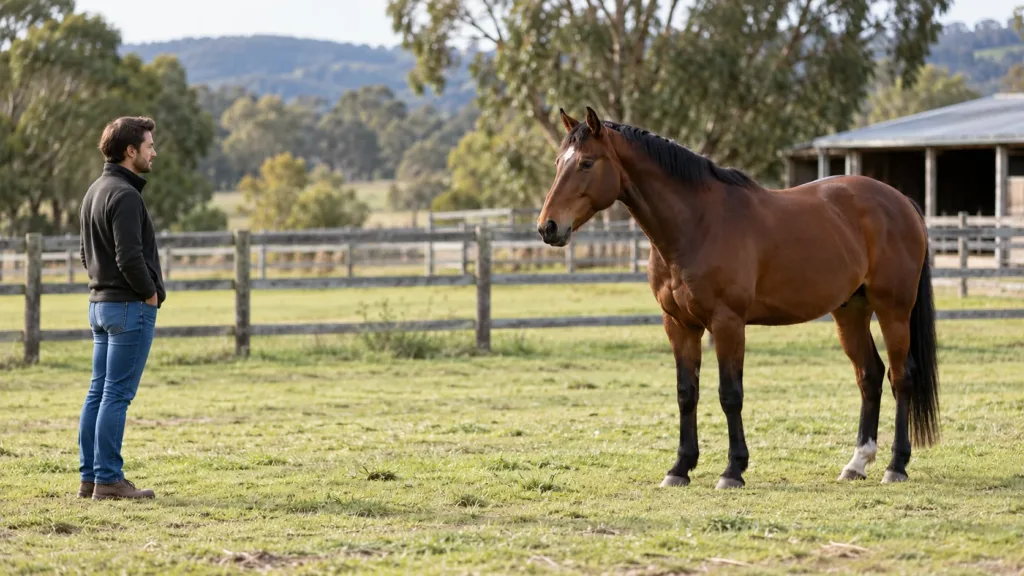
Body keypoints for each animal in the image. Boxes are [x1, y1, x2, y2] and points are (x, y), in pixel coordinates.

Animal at [537, 106, 939, 489]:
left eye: (587, 163)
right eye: (558, 163)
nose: (548, 227)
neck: (697, 224)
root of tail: (901, 201)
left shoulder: (727, 322)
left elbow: (730, 394)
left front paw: (733, 470)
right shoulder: (679, 325)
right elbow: (687, 393)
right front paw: (680, 468)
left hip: (893, 310)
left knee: (901, 377)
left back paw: (896, 465)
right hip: (850, 311)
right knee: (869, 376)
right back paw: (857, 464)